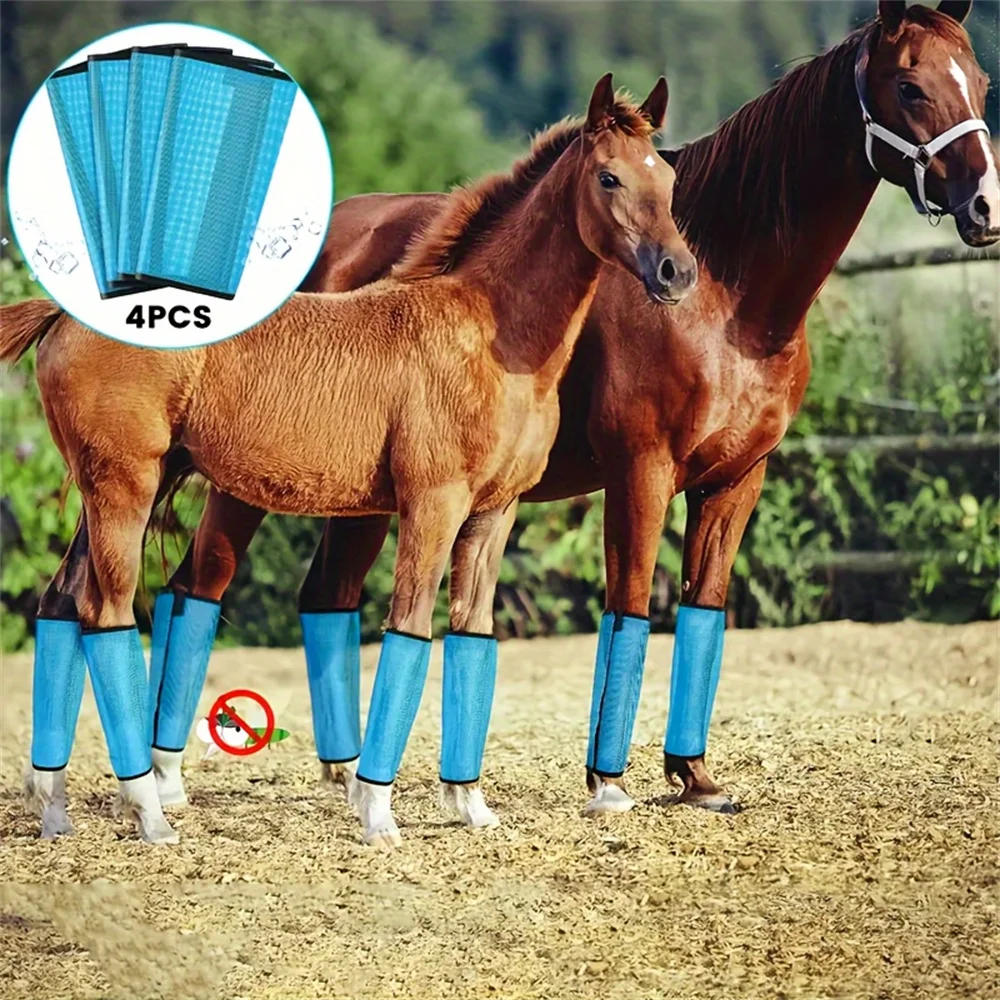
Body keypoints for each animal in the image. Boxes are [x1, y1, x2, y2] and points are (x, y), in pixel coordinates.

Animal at [4, 75, 696, 846]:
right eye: (608, 176)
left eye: (667, 178)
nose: (677, 273)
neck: (488, 333)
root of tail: (63, 313)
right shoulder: (433, 503)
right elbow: (410, 629)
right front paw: (378, 811)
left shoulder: (495, 512)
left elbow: (472, 632)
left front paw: (470, 804)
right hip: (126, 486)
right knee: (108, 612)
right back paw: (149, 812)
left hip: (114, 490)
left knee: (62, 601)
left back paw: (55, 807)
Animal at [156, 0, 998, 817]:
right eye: (910, 85)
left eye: (982, 82)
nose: (985, 205)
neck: (730, 298)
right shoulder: (641, 471)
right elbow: (629, 607)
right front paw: (608, 781)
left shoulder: (736, 480)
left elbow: (703, 609)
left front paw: (695, 778)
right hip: (250, 483)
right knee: (198, 587)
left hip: (356, 492)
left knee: (325, 597)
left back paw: (346, 775)